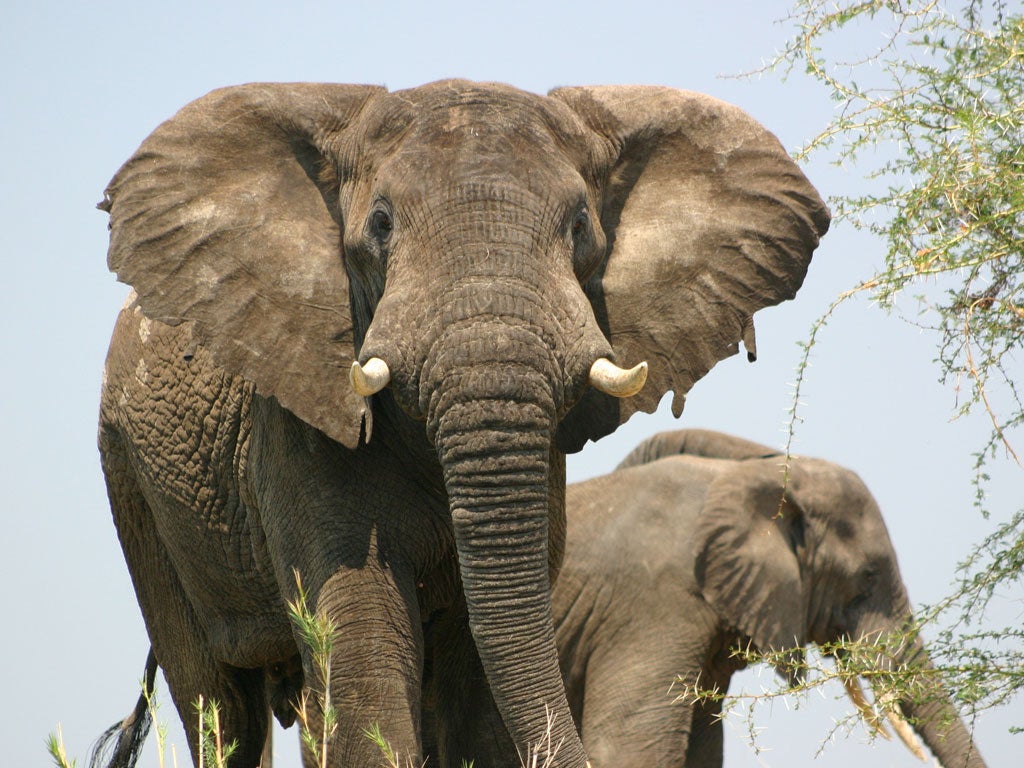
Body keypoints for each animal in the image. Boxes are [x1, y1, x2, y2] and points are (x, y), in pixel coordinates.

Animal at [94, 79, 831, 768]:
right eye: (381, 223)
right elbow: (367, 655)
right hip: (131, 480)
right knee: (220, 710)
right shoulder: (293, 428)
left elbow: (476, 684)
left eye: (581, 225)